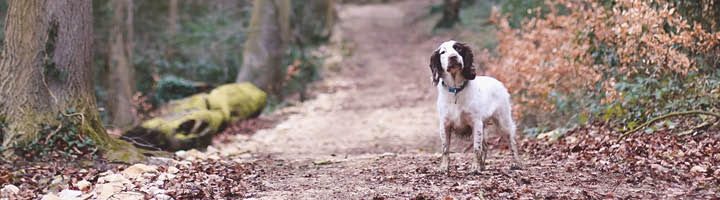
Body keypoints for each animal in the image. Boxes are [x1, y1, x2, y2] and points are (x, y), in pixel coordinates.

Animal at [430, 40, 520, 172]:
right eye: (443, 52)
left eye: (458, 49)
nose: (453, 57)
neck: (456, 90)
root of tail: (499, 82)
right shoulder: (445, 124)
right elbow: (445, 148)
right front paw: (443, 167)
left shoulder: (475, 122)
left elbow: (476, 149)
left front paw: (475, 167)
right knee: (486, 146)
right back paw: (483, 166)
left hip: (503, 121)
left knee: (511, 141)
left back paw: (516, 163)